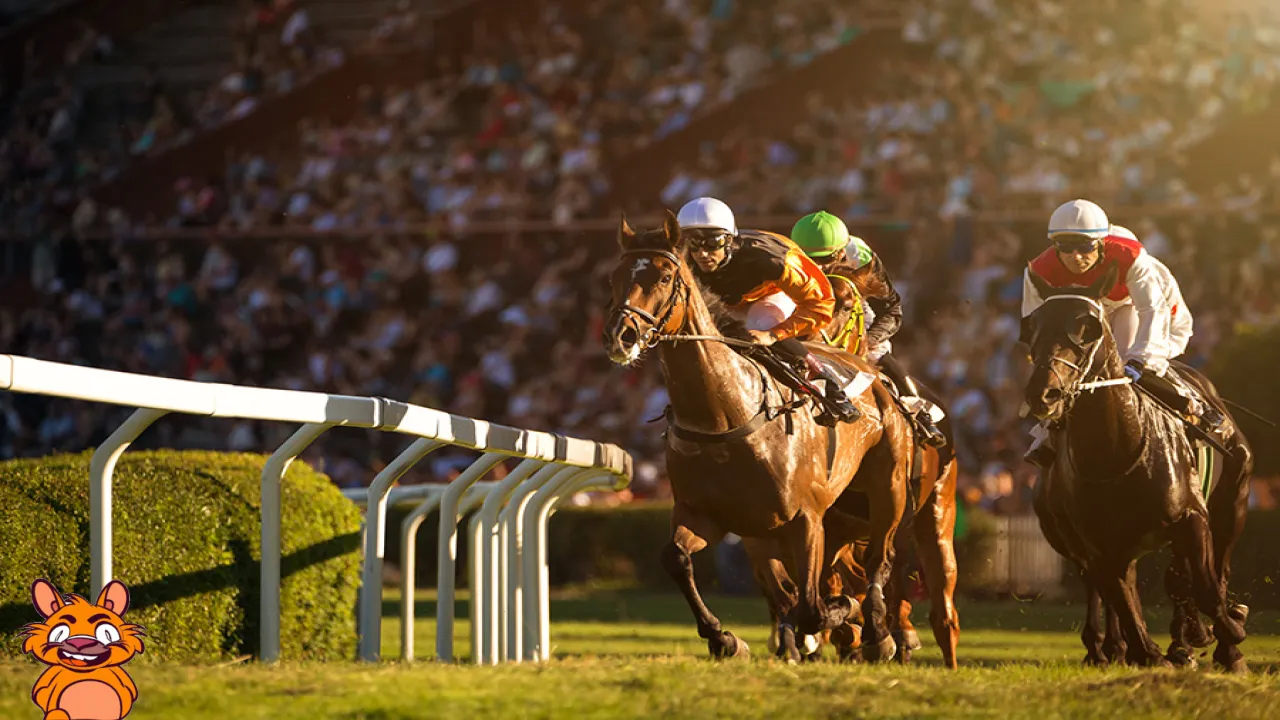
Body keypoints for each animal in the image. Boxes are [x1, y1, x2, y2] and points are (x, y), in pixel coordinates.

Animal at [601, 210, 916, 661]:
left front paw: (841, 619)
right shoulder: (708, 516)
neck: (725, 416)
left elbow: (812, 609)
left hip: (887, 488)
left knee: (879, 559)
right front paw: (724, 638)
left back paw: (879, 632)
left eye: (664, 276)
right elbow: (675, 557)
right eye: (614, 277)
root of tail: (872, 373)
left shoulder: (805, 519)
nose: (620, 336)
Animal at [1024, 265, 1254, 671]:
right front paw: (1145, 651)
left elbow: (1207, 587)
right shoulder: (1098, 546)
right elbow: (1123, 598)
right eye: (1031, 326)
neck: (1117, 450)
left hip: (1234, 501)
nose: (1043, 393)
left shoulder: (1192, 517)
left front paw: (1230, 635)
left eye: (1087, 326)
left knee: (1209, 574)